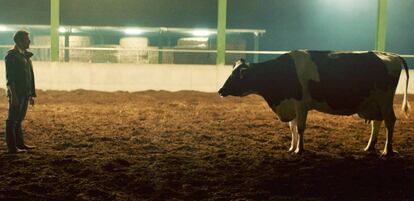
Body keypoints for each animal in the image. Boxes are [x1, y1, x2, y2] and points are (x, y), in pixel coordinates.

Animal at [218, 49, 410, 156]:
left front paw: (300, 150)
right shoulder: (292, 105)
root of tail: (389, 55)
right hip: (374, 103)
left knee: (390, 121)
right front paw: (291, 148)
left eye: (235, 76)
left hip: (384, 101)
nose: (220, 90)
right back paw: (369, 147)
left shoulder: (301, 104)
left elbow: (300, 128)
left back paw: (387, 151)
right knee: (377, 123)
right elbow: (292, 128)